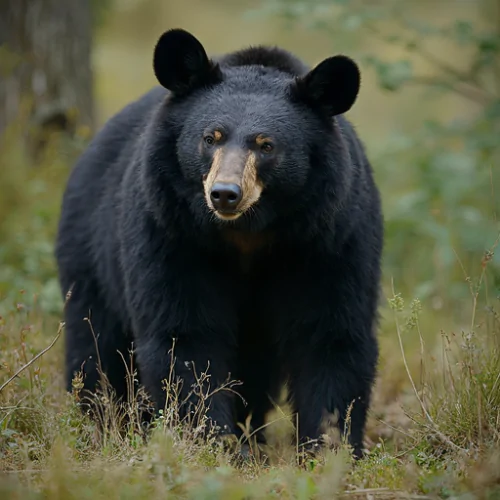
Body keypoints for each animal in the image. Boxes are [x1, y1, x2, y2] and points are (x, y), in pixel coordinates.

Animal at [54, 26, 382, 458]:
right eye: (211, 138)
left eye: (266, 145)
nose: (225, 194)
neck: (248, 235)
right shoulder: (170, 231)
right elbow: (185, 335)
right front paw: (210, 441)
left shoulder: (330, 238)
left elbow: (331, 335)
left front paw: (328, 448)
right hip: (90, 251)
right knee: (95, 346)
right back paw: (102, 423)